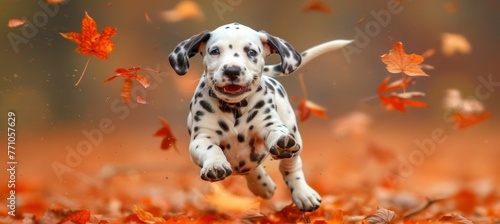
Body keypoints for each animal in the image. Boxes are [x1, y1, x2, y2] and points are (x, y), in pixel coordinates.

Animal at [168, 22, 352, 212]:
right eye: (215, 51)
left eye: (251, 52)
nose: (232, 70)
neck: (235, 108)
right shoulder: (201, 138)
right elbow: (211, 149)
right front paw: (215, 165)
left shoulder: (270, 124)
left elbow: (276, 134)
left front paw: (280, 143)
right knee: (249, 167)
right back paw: (262, 185)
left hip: (294, 133)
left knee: (290, 166)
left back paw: (303, 194)